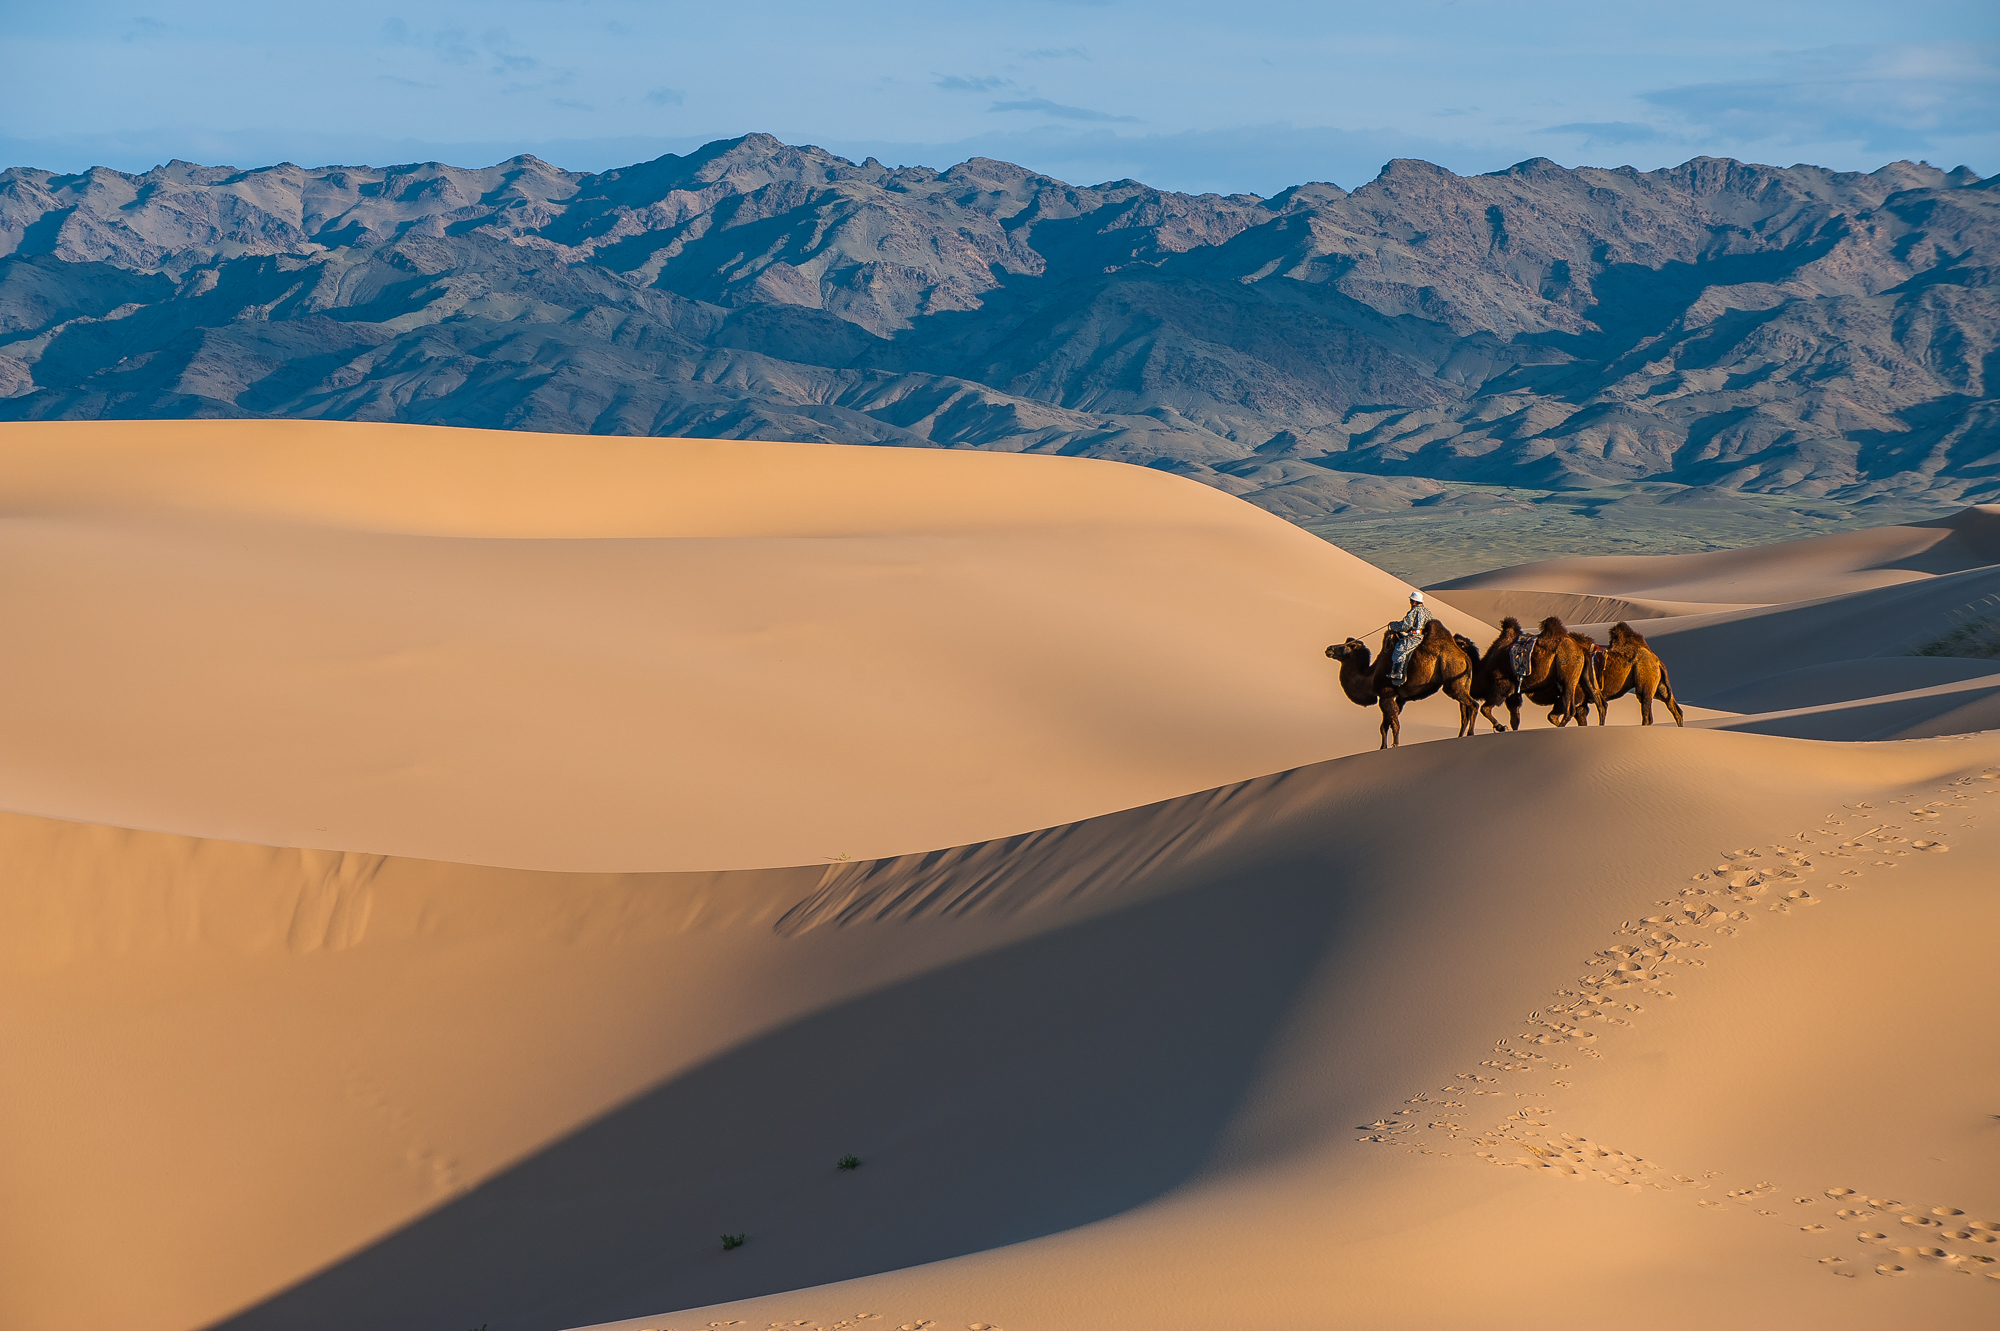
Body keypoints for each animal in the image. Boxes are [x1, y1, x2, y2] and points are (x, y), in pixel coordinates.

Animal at [1320, 615, 1480, 747]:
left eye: (1350, 645)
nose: (1329, 649)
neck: (1371, 675)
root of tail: (1464, 656)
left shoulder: (1386, 694)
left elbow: (1393, 723)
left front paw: (1395, 745)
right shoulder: (1398, 698)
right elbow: (1385, 725)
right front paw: (1382, 747)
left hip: (1452, 677)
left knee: (1473, 705)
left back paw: (1471, 734)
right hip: (1461, 681)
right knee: (1464, 713)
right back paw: (1460, 736)